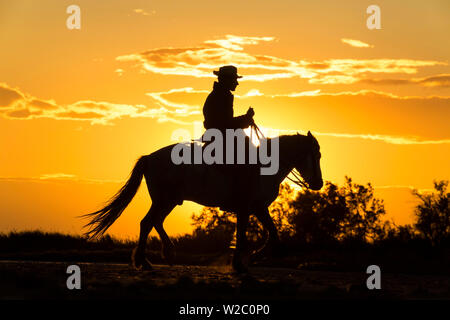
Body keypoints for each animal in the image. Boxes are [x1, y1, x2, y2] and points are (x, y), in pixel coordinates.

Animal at [84, 131, 322, 272]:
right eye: (316, 155)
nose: (318, 183)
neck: (264, 167)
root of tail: (150, 158)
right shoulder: (250, 207)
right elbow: (252, 235)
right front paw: (245, 261)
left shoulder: (256, 207)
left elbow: (271, 235)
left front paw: (250, 258)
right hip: (164, 199)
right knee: (147, 223)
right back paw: (145, 261)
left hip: (170, 200)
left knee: (155, 222)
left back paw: (166, 253)